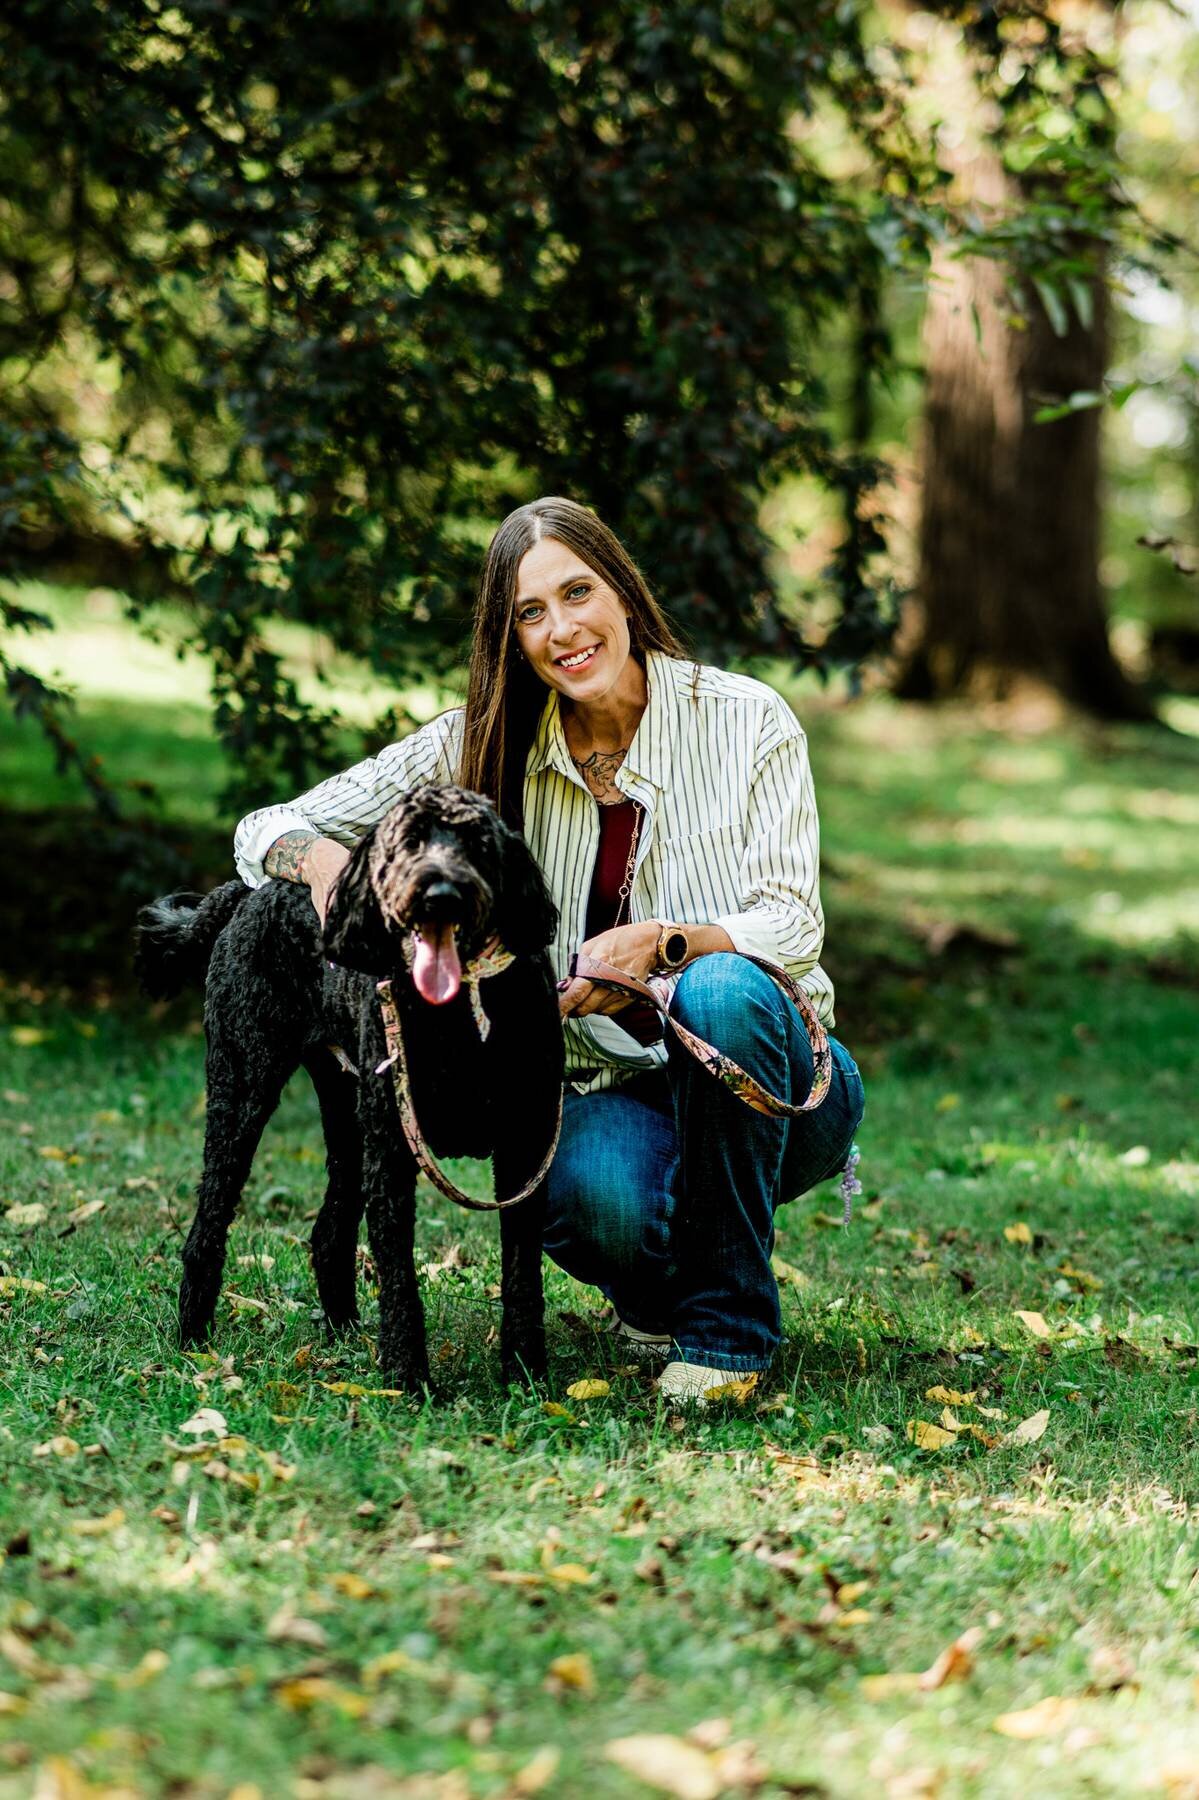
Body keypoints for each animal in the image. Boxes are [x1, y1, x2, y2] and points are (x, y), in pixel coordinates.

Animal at [133, 788, 561, 1389]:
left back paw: (344, 1333)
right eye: (407, 842)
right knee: (210, 1221)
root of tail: (249, 893)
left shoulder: (525, 1147)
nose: (440, 896)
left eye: (477, 842)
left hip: (347, 1114)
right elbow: (398, 1271)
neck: (456, 1010)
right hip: (243, 1088)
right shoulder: (394, 1150)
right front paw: (409, 1378)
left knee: (328, 1232)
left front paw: (525, 1374)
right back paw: (194, 1338)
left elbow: (523, 1271)